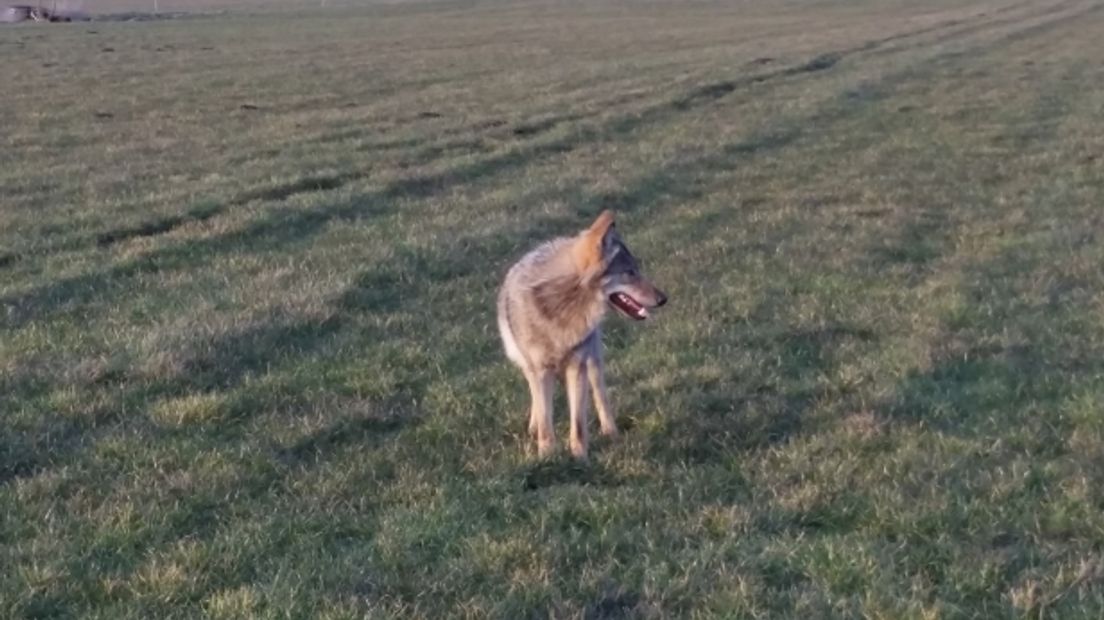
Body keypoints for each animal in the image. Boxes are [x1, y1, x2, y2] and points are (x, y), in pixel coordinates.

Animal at [499, 209, 662, 456]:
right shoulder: (540, 370)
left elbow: (577, 423)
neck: (562, 305)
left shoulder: (578, 367)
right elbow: (545, 419)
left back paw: (611, 432)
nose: (664, 299)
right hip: (526, 364)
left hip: (593, 361)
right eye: (630, 273)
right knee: (535, 397)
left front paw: (579, 456)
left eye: (636, 271)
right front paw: (547, 455)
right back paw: (534, 426)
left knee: (601, 395)